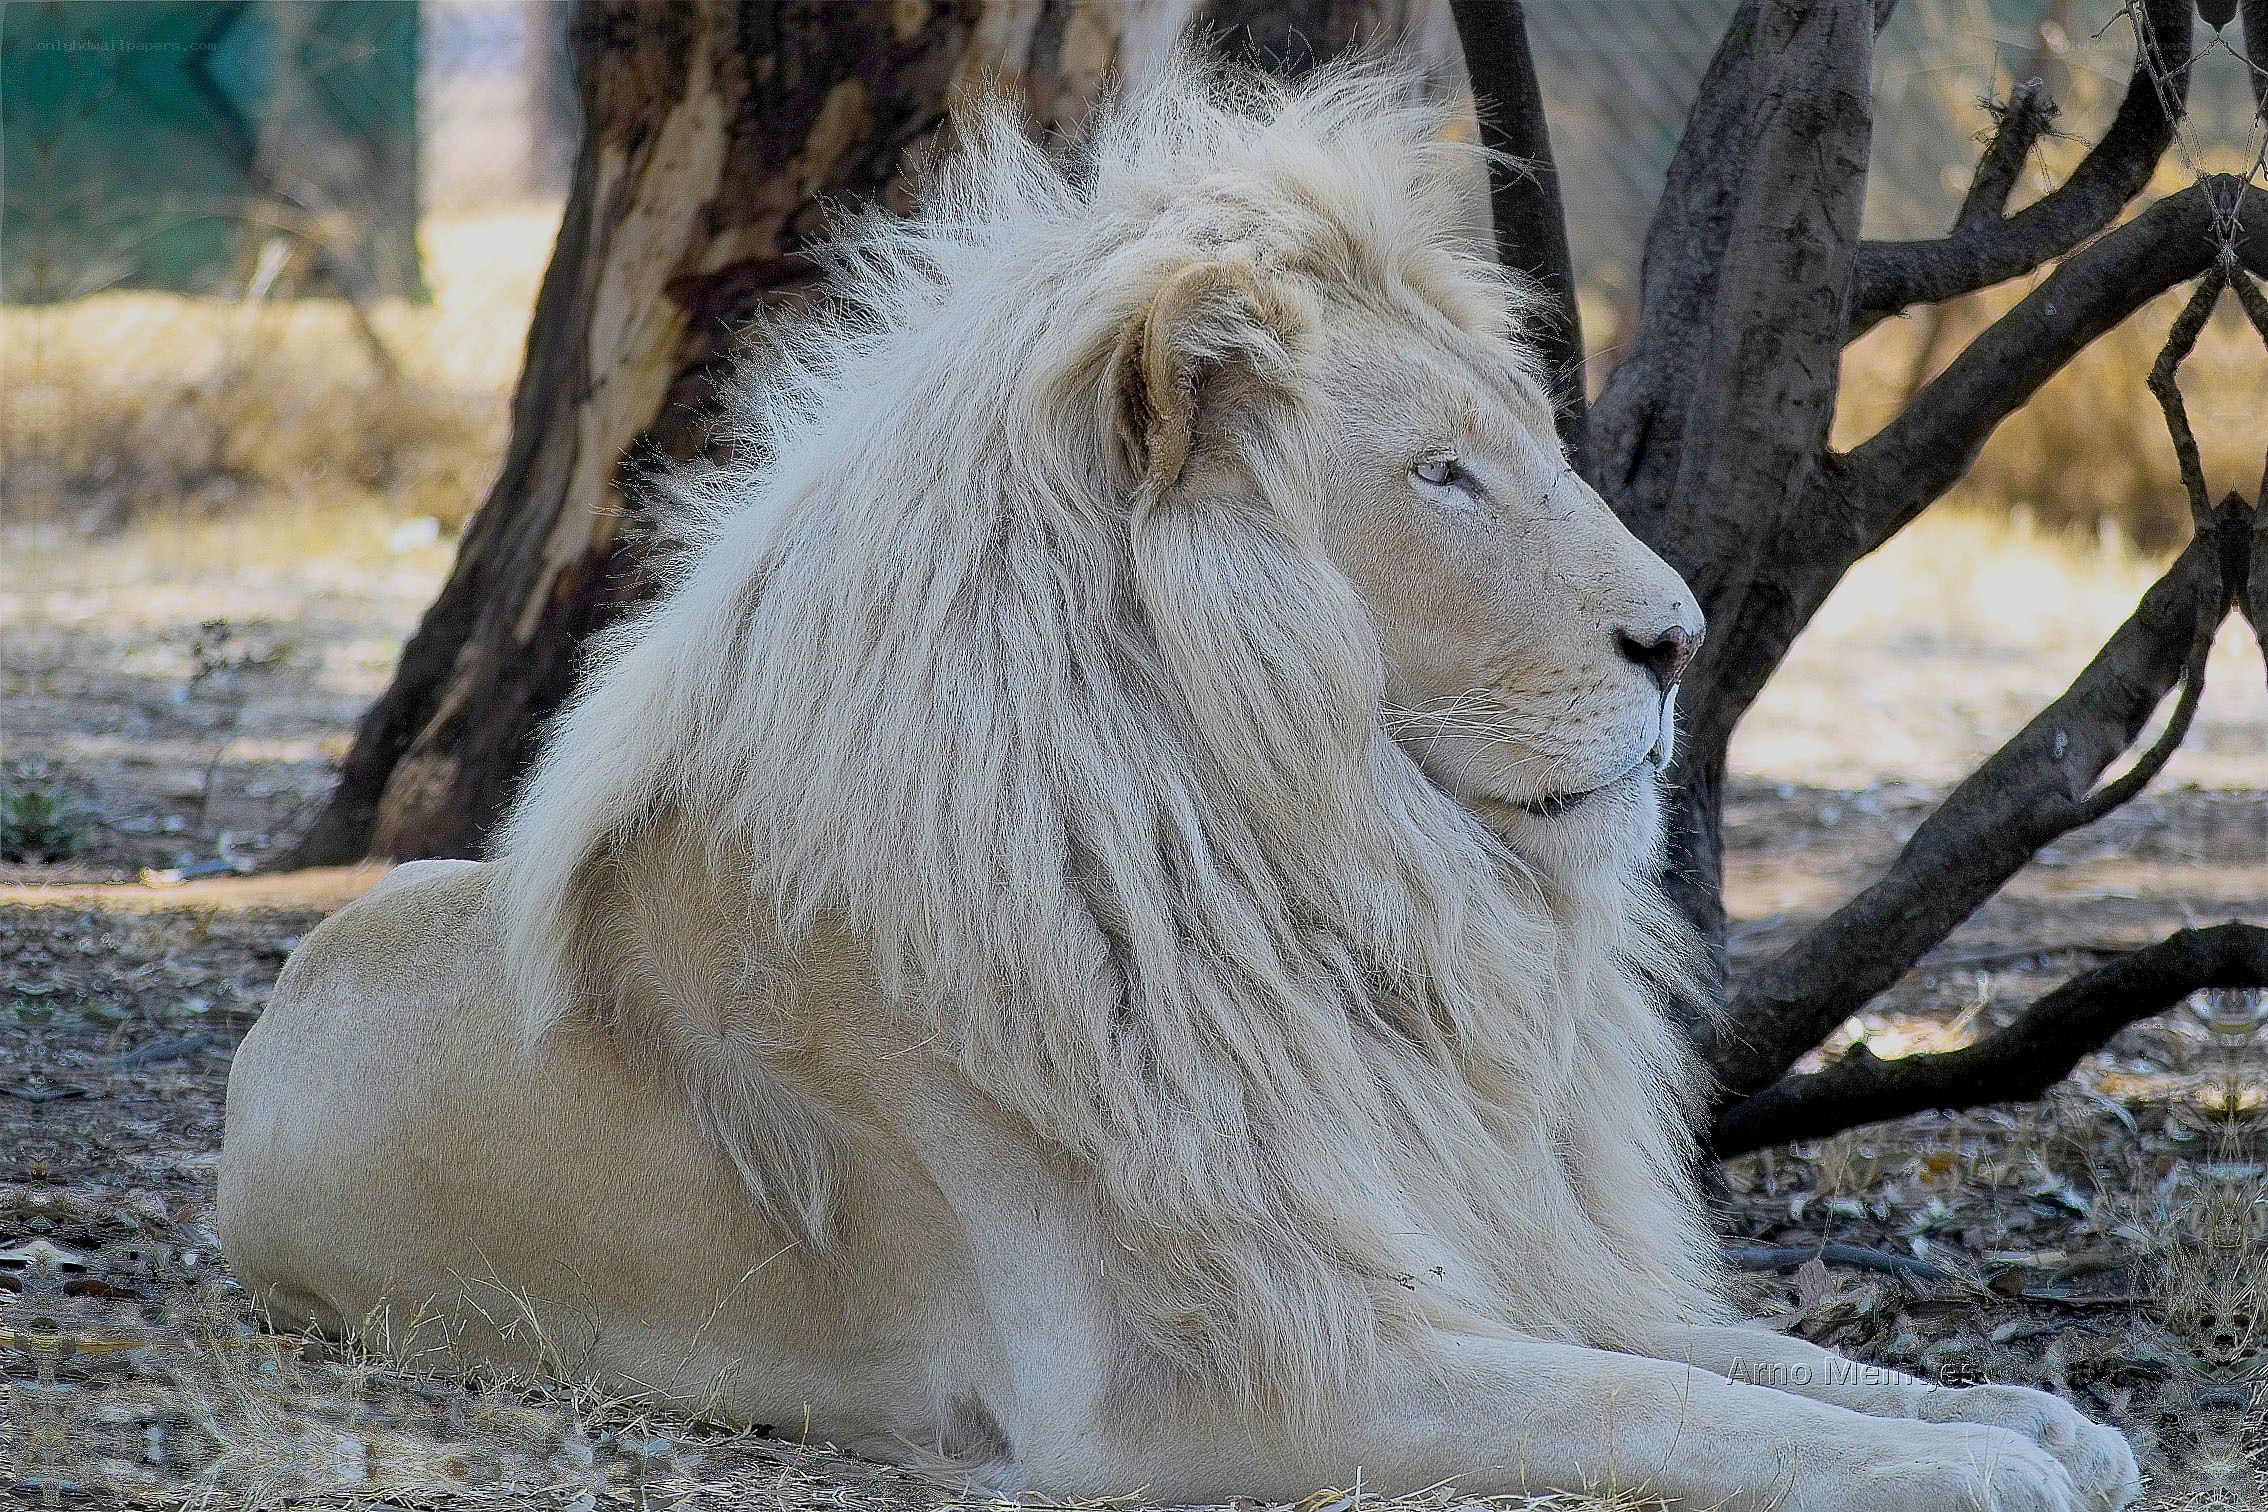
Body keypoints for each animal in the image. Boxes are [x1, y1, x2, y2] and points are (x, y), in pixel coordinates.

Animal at [220, 60, 2138, 1511]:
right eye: (1442, 476)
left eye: (1526, 452)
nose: (1676, 640)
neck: (1325, 891)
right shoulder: (1206, 1376)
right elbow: (1654, 1407)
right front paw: (1971, 1469)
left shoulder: (1461, 1242)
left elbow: (1749, 1353)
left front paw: (2026, 1416)